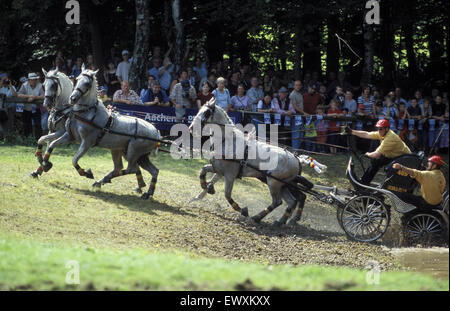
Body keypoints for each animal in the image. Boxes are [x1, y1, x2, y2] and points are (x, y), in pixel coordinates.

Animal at [42, 64, 161, 199]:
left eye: (87, 83)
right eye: (77, 79)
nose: (73, 98)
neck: (84, 113)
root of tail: (156, 132)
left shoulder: (86, 143)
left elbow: (74, 160)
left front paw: (87, 173)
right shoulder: (68, 136)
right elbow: (51, 144)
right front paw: (45, 164)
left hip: (133, 152)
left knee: (131, 169)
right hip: (133, 154)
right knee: (149, 170)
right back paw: (145, 191)